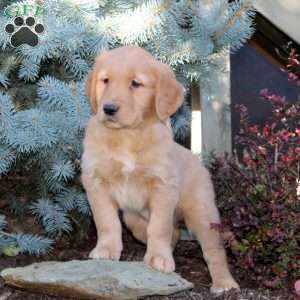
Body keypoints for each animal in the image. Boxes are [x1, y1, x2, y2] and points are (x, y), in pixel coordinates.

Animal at [81, 46, 239, 292]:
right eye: (105, 80)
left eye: (135, 83)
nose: (108, 109)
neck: (127, 135)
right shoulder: (96, 181)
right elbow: (106, 220)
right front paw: (106, 249)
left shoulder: (163, 186)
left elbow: (159, 226)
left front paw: (159, 257)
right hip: (133, 214)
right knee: (153, 229)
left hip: (201, 212)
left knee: (214, 249)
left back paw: (225, 283)